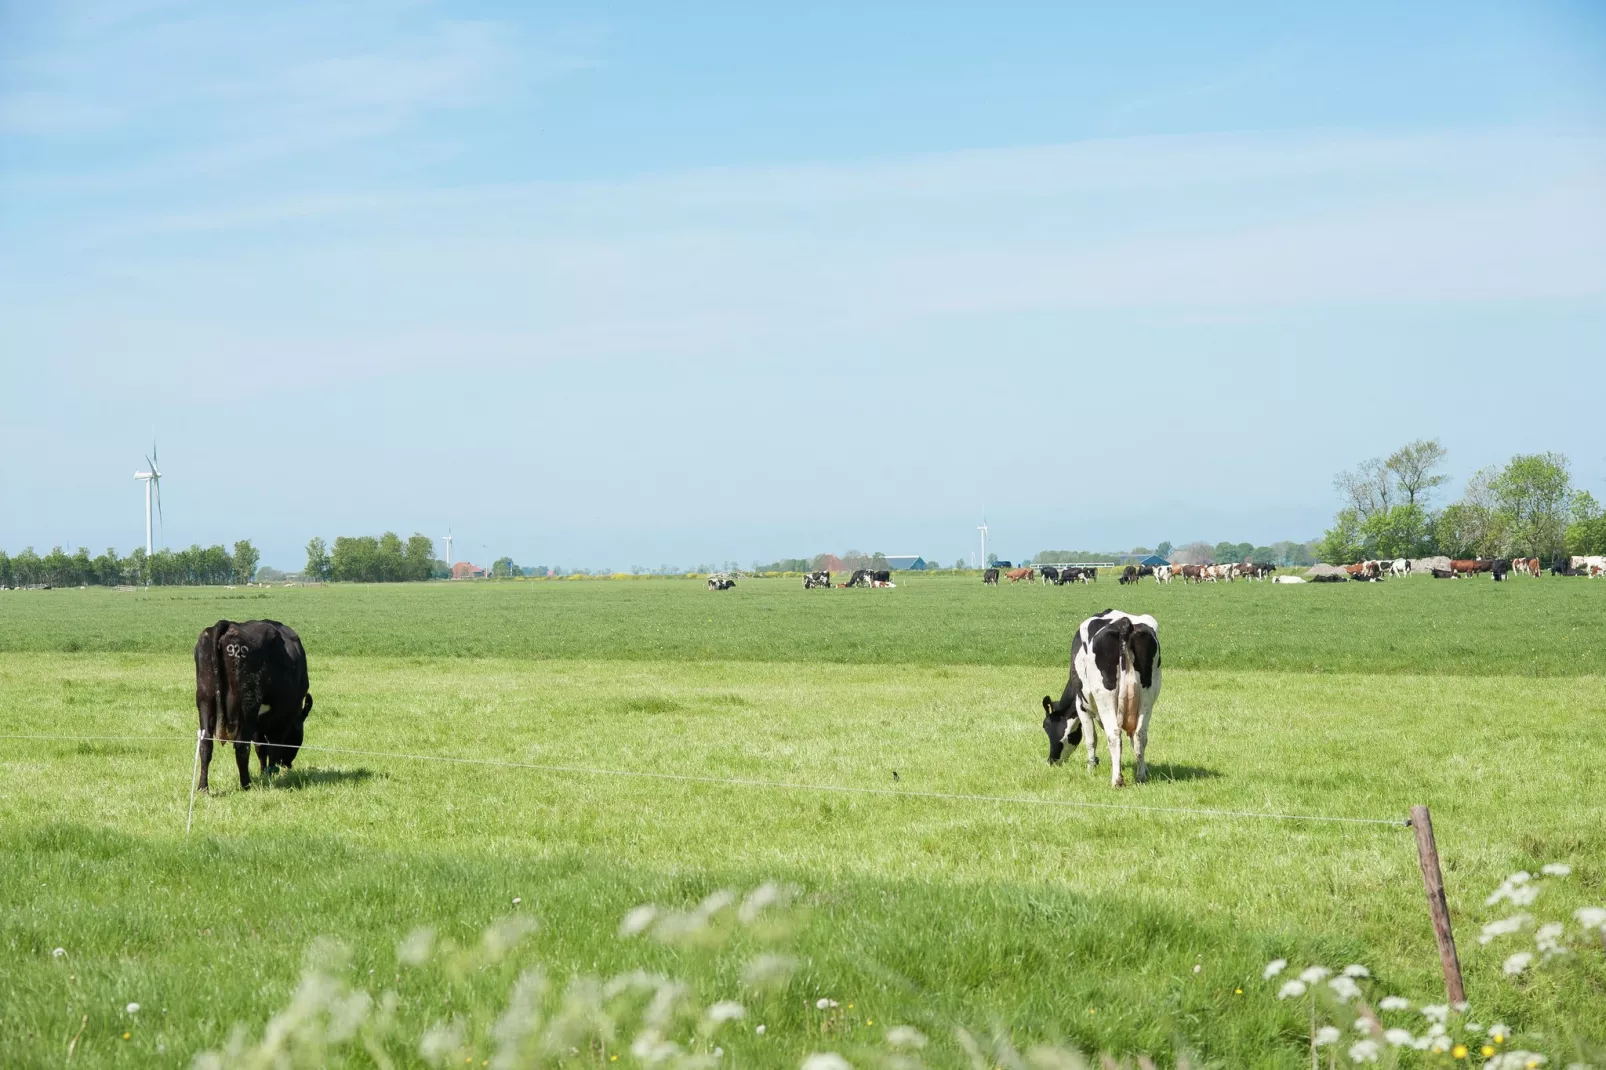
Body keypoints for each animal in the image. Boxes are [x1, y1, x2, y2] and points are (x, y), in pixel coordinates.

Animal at [192, 616, 311, 790]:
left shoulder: (259, 723)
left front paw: (264, 773)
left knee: (206, 744)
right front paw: (269, 773)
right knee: (242, 745)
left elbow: (261, 747)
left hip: (205, 700)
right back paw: (246, 784)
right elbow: (273, 746)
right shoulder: (283, 717)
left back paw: (203, 787)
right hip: (248, 704)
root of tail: (228, 625)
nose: (287, 764)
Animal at [1040, 607, 1169, 784]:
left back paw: (1117, 780)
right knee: (1140, 734)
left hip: (1105, 698)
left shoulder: (1082, 706)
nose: (1051, 761)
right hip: (1148, 696)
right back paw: (1140, 777)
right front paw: (1143, 768)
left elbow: (1091, 740)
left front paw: (1091, 769)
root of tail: (1124, 623)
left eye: (1046, 727)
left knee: (1114, 734)